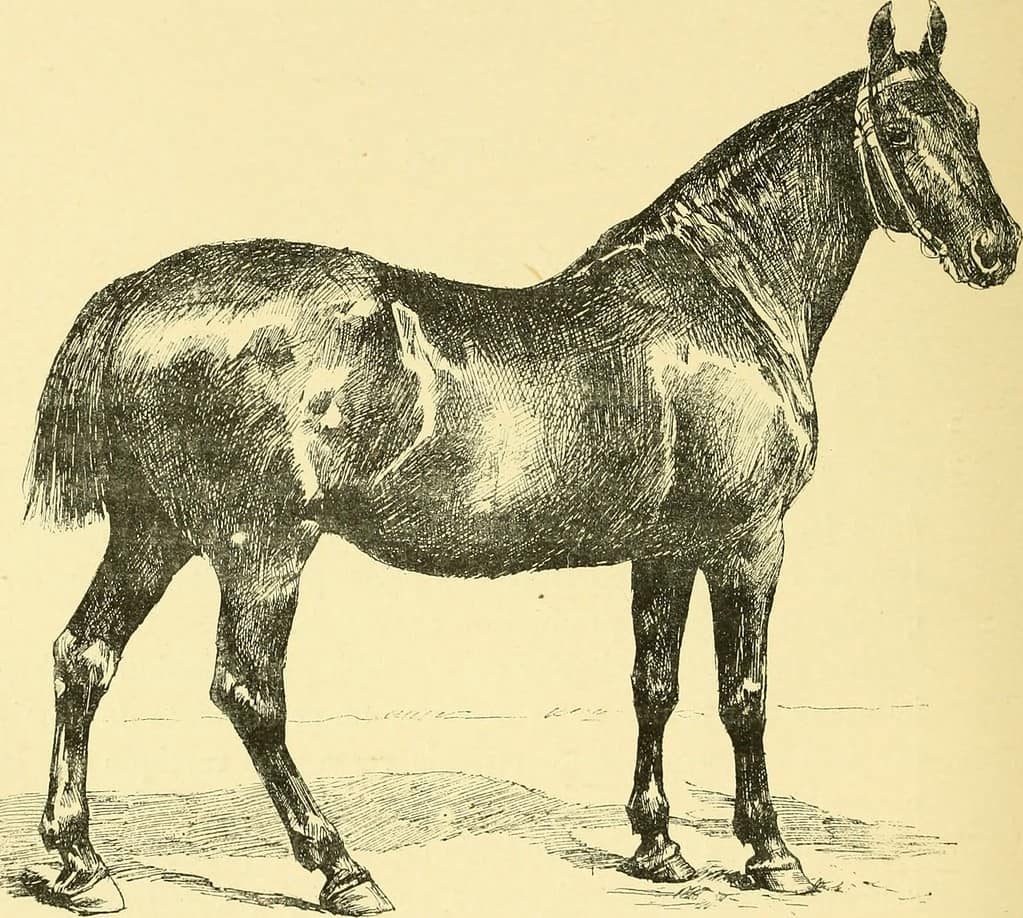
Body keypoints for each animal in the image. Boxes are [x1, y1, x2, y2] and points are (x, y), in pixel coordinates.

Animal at [24, 2, 1019, 914]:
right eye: (899, 129)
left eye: (970, 118)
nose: (993, 250)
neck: (724, 295)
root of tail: (135, 293)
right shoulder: (749, 541)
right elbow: (744, 694)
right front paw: (770, 854)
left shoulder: (663, 551)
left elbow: (653, 686)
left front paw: (657, 846)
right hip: (258, 550)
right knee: (248, 694)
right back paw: (340, 868)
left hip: (153, 534)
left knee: (85, 656)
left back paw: (79, 864)